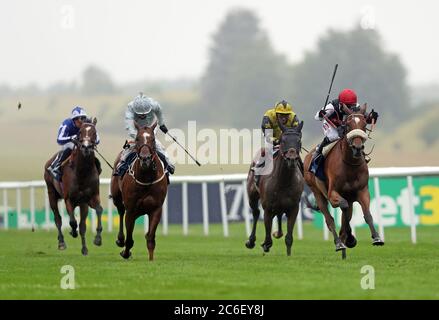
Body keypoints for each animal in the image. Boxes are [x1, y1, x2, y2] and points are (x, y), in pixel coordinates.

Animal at [44, 117, 104, 255]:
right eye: (80, 132)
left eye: (94, 132)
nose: (86, 147)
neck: (82, 172)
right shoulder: (68, 199)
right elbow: (72, 221)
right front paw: (72, 232)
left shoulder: (89, 198)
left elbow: (98, 211)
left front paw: (97, 239)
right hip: (51, 194)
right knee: (58, 219)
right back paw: (61, 242)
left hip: (81, 203)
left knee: (80, 224)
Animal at [110, 120, 168, 260]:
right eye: (137, 138)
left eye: (153, 139)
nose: (145, 159)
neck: (146, 178)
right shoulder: (131, 209)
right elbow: (129, 239)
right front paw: (125, 252)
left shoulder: (156, 208)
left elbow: (150, 237)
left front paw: (151, 259)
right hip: (117, 198)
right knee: (121, 212)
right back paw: (120, 240)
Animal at [246, 121, 304, 256]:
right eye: (283, 140)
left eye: (299, 140)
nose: (292, 159)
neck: (284, 181)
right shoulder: (268, 208)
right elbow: (268, 238)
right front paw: (265, 245)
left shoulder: (294, 208)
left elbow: (289, 238)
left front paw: (288, 254)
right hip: (252, 196)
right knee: (256, 213)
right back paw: (251, 241)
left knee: (278, 215)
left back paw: (278, 233)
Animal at [304, 105, 384, 260]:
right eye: (348, 125)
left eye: (364, 125)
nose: (358, 148)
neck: (350, 165)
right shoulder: (332, 193)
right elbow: (343, 209)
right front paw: (347, 239)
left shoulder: (362, 191)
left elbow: (367, 214)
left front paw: (376, 237)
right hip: (317, 192)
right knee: (330, 219)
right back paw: (339, 243)